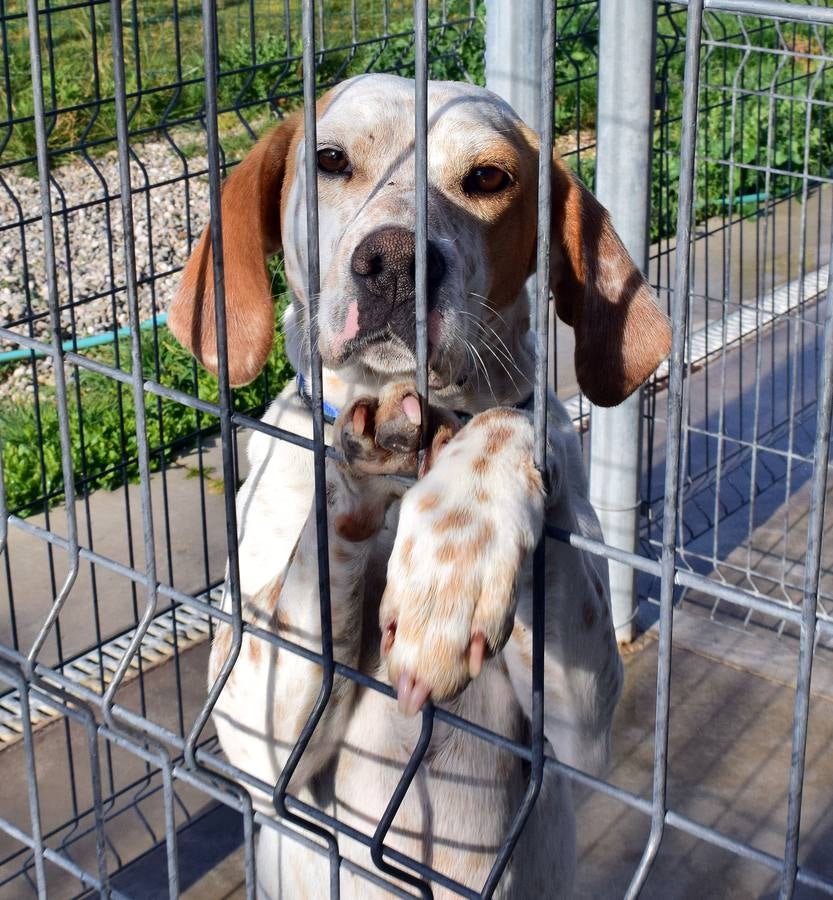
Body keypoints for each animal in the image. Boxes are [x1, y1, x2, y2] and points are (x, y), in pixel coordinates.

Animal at [167, 74, 668, 896]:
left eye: (489, 177)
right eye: (331, 159)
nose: (397, 263)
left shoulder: (583, 725)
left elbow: (503, 420)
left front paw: (450, 564)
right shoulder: (254, 727)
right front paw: (368, 454)